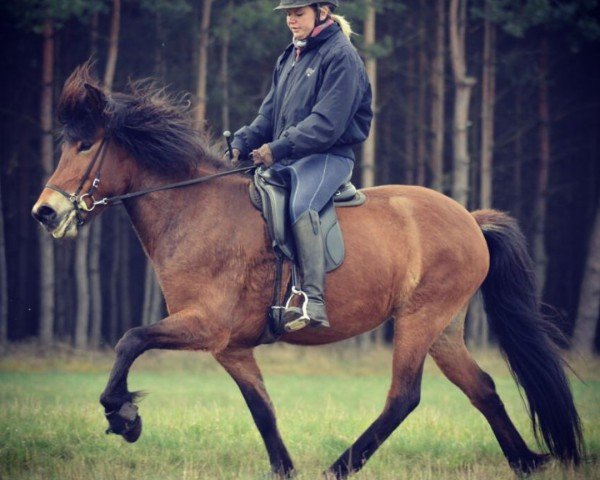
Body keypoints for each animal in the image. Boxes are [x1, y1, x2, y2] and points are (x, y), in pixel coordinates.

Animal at [29, 64, 580, 480]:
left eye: (84, 146)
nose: (46, 213)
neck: (196, 211)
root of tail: (470, 218)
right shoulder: (231, 347)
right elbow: (263, 412)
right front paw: (283, 468)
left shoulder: (205, 326)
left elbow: (131, 339)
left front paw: (123, 415)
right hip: (444, 328)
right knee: (482, 387)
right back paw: (526, 461)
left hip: (420, 319)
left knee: (404, 397)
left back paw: (340, 467)